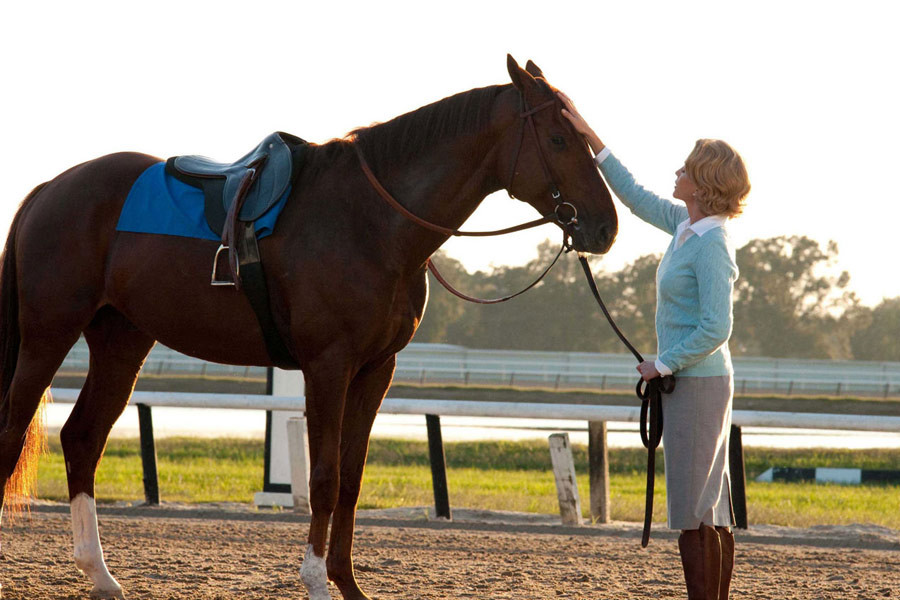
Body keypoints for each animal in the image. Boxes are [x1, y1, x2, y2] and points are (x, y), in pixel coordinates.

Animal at [0, 57, 620, 600]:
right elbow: (323, 476)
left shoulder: (376, 370)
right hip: (48, 336)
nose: (606, 227)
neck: (373, 220)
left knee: (83, 439)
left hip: (122, 341)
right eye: (559, 139)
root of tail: (52, 187)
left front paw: (348, 583)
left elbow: (350, 477)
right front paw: (318, 581)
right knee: (13, 432)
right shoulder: (329, 365)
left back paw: (101, 575)